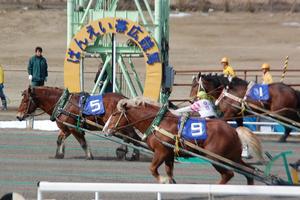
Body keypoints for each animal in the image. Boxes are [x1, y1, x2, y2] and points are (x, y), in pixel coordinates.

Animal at [103, 98, 262, 184]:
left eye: (115, 114)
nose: (105, 129)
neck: (159, 123)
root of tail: (233, 130)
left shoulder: (161, 151)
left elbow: (153, 168)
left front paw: (163, 180)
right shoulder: (169, 154)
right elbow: (169, 171)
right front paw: (170, 181)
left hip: (216, 158)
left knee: (228, 174)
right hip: (232, 157)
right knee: (249, 171)